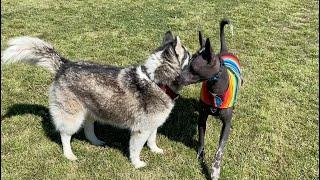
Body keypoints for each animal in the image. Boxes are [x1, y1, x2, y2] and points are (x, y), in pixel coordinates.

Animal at [1, 31, 190, 168]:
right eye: (188, 55)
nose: (196, 56)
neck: (155, 81)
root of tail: (64, 65)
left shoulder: (152, 125)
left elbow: (152, 139)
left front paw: (155, 150)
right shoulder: (140, 130)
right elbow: (136, 148)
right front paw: (137, 164)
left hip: (91, 110)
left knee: (88, 128)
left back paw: (96, 141)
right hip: (72, 116)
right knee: (65, 135)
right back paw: (69, 154)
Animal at [180, 19, 242, 179]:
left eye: (193, 68)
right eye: (187, 61)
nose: (177, 77)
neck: (215, 91)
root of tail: (224, 51)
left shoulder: (226, 125)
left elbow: (219, 151)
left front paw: (215, 170)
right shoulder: (202, 118)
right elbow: (201, 140)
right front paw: (200, 157)